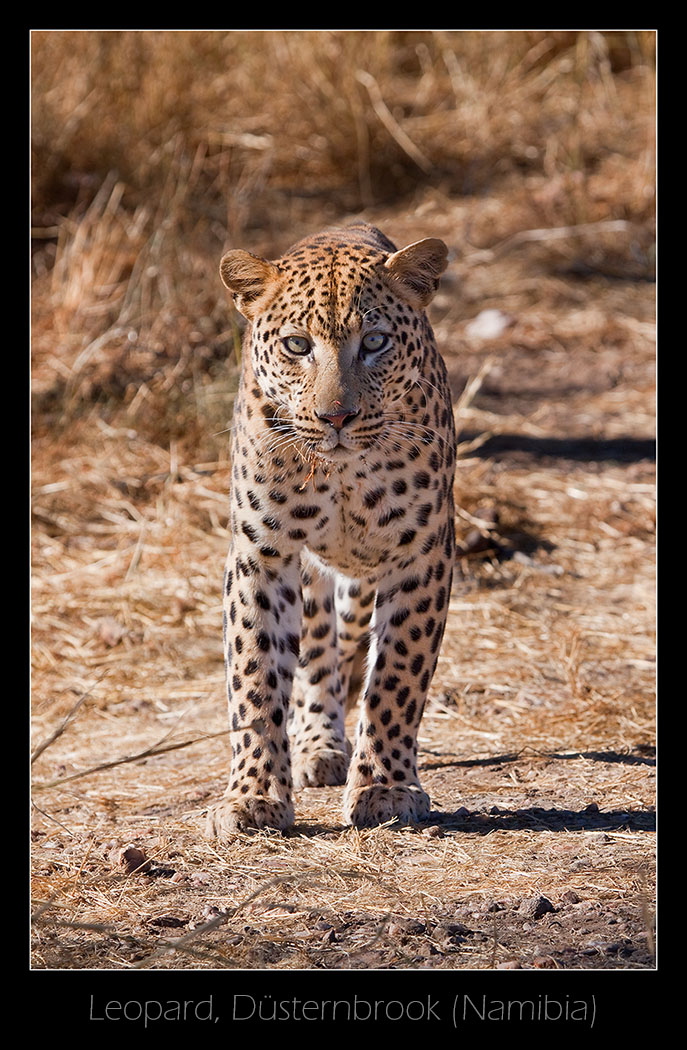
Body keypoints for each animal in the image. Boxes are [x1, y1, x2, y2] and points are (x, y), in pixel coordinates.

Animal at [204, 219, 457, 835]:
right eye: (298, 345)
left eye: (375, 342)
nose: (336, 417)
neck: (342, 473)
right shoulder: (262, 552)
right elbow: (254, 675)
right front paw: (252, 795)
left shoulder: (421, 556)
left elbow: (396, 675)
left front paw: (386, 787)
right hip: (312, 576)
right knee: (317, 653)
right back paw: (317, 743)